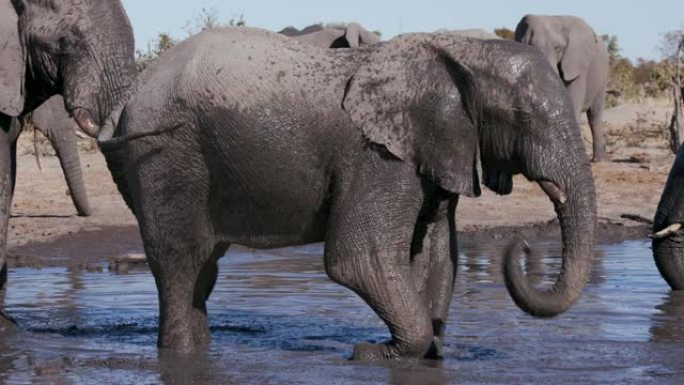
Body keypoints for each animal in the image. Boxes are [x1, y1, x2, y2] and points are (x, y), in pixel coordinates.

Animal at [97, 28, 600, 358]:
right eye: (523, 117)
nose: (523, 245)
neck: (462, 52)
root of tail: (128, 96)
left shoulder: (436, 147)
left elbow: (438, 255)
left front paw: (428, 351)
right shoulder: (377, 156)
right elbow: (358, 259)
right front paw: (374, 353)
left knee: (203, 270)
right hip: (165, 156)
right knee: (181, 265)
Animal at [512, 14, 608, 162]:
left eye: (557, 48)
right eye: (528, 46)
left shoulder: (577, 66)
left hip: (602, 76)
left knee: (594, 115)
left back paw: (599, 160)